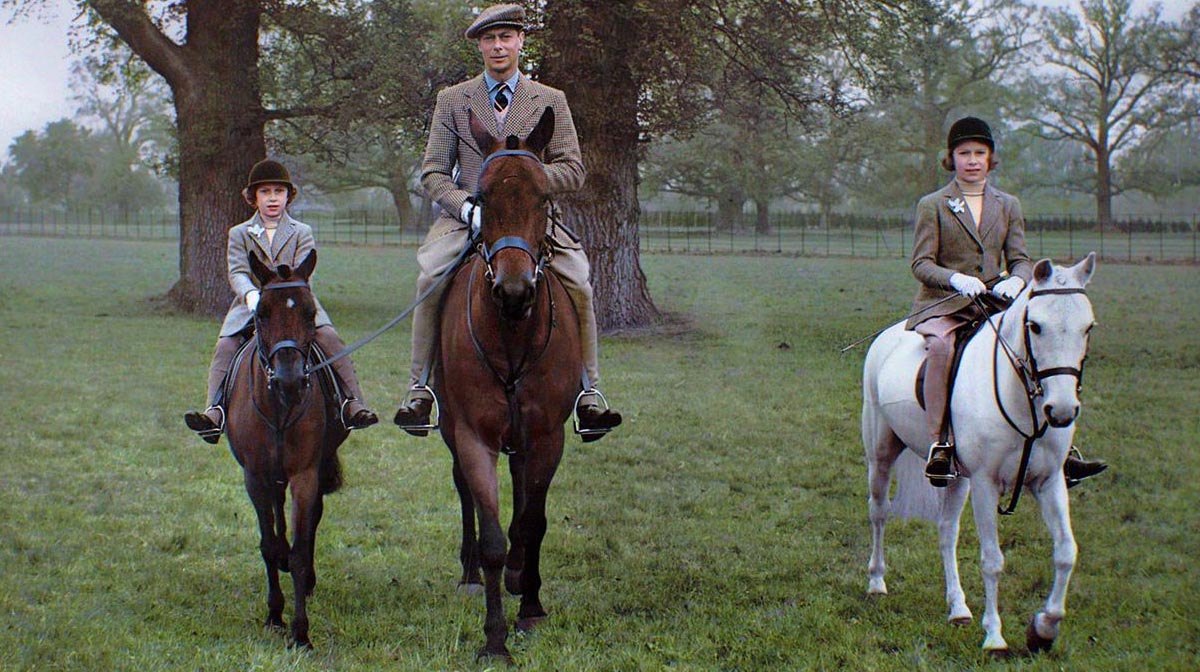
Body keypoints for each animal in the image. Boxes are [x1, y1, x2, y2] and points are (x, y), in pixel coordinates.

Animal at [224, 249, 348, 648]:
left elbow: (299, 549)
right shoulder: (255, 477)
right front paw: (274, 615)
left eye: (310, 313)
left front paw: (301, 632)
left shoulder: (305, 475)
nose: (290, 381)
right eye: (261, 312)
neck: (279, 406)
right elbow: (268, 544)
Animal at [436, 110, 580, 662]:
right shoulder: (474, 436)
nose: (515, 292)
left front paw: (531, 605)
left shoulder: (546, 437)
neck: (514, 333)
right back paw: (471, 572)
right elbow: (494, 535)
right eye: (482, 199)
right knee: (465, 492)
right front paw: (495, 639)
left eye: (543, 198)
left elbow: (532, 522)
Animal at [864, 253, 1099, 657]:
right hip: (880, 455)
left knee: (947, 531)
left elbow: (1066, 552)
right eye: (1035, 326)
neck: (1020, 397)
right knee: (879, 513)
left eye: (1088, 327)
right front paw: (994, 637)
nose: (1062, 410)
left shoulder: (1050, 481)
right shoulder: (988, 484)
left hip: (957, 477)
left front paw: (1043, 628)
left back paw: (958, 607)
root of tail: (888, 336)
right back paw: (877, 582)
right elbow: (992, 560)